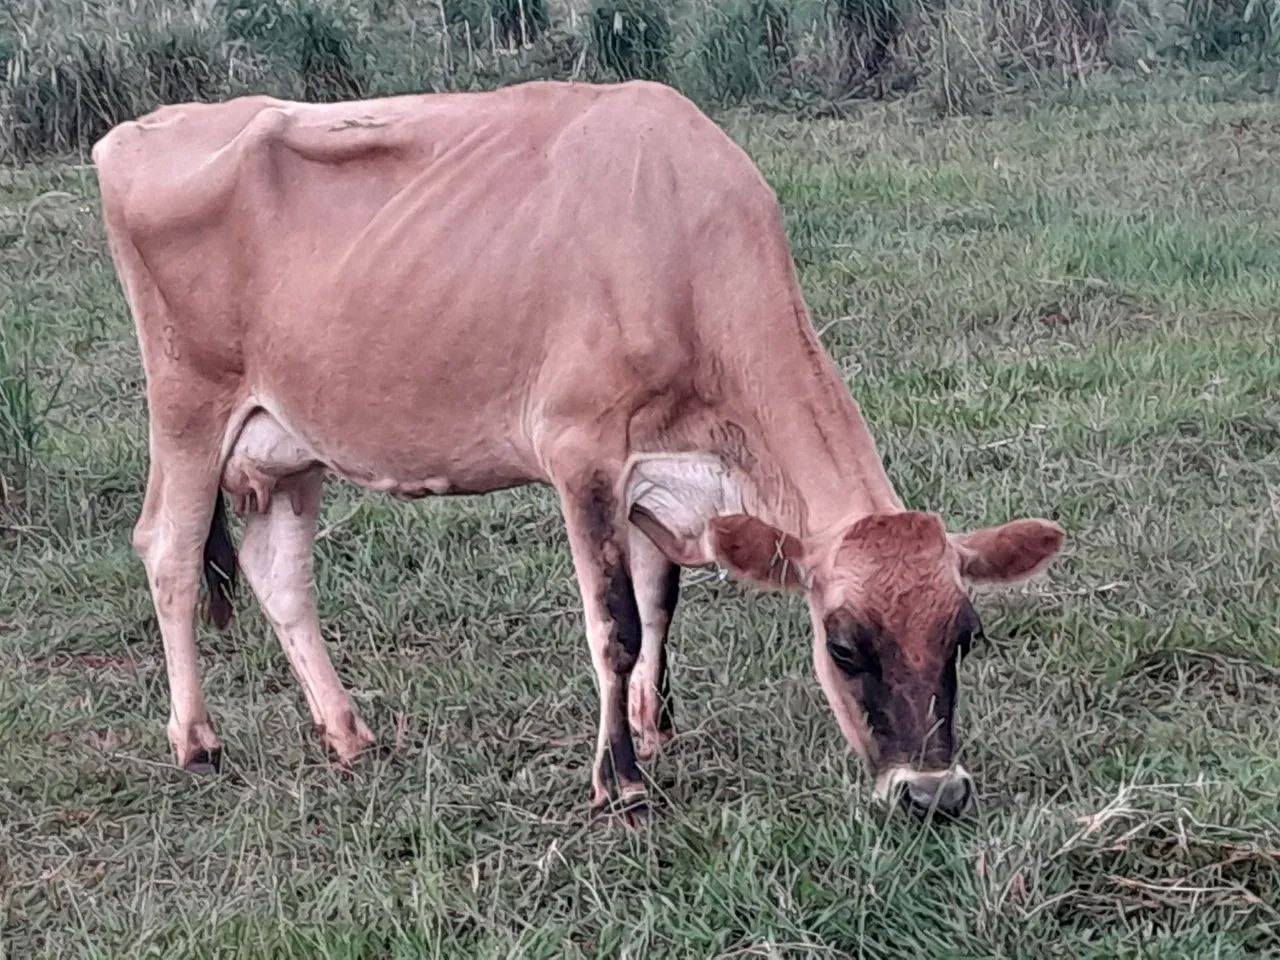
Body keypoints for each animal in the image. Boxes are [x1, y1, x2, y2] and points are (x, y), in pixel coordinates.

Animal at [92, 79, 1063, 821]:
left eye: (966, 637)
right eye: (844, 645)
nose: (932, 794)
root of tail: (144, 126)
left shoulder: (656, 471)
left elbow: (661, 599)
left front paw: (655, 727)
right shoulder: (580, 451)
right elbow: (616, 623)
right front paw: (620, 778)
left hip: (291, 442)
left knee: (278, 572)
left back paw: (347, 732)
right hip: (188, 404)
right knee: (169, 551)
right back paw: (197, 742)